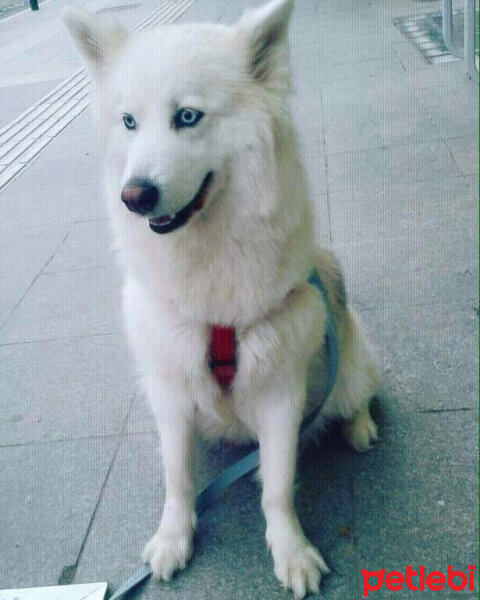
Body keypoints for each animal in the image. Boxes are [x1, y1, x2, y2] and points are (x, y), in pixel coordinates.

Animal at [62, 2, 378, 596]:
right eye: (129, 122)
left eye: (187, 117)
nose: (134, 196)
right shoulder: (168, 386)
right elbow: (178, 477)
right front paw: (172, 538)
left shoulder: (281, 390)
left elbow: (276, 485)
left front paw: (291, 552)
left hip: (347, 368)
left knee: (358, 394)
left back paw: (361, 427)